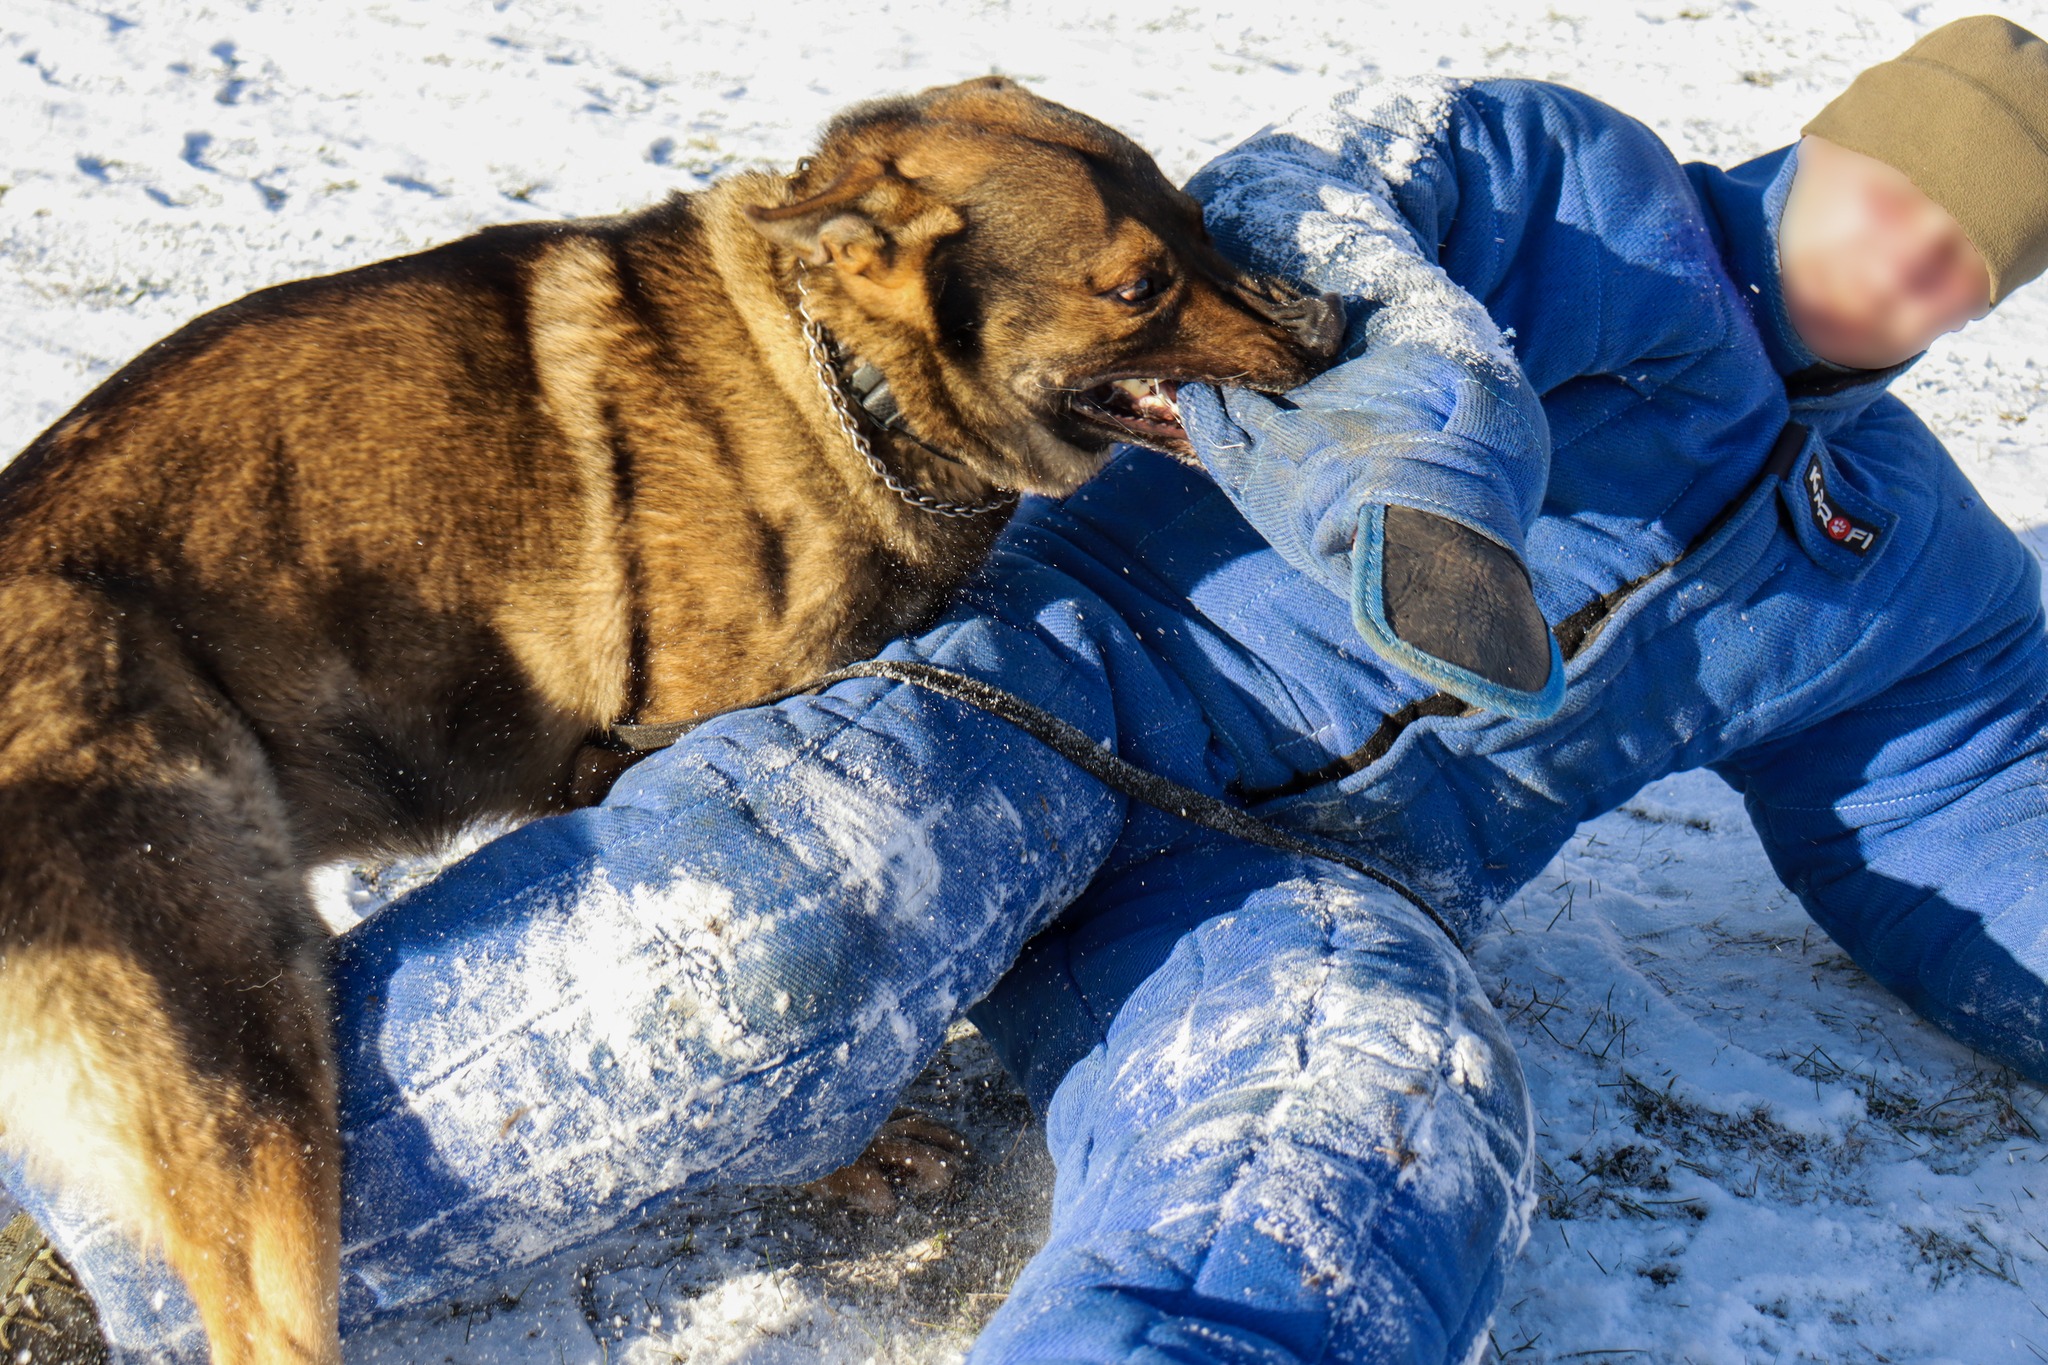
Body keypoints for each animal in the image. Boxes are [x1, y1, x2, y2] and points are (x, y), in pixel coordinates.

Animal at [0, 80, 1343, 1358]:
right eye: (1137, 286)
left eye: (1198, 222)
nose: (1334, 329)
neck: (840, 380)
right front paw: (854, 1158)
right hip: (248, 1073)